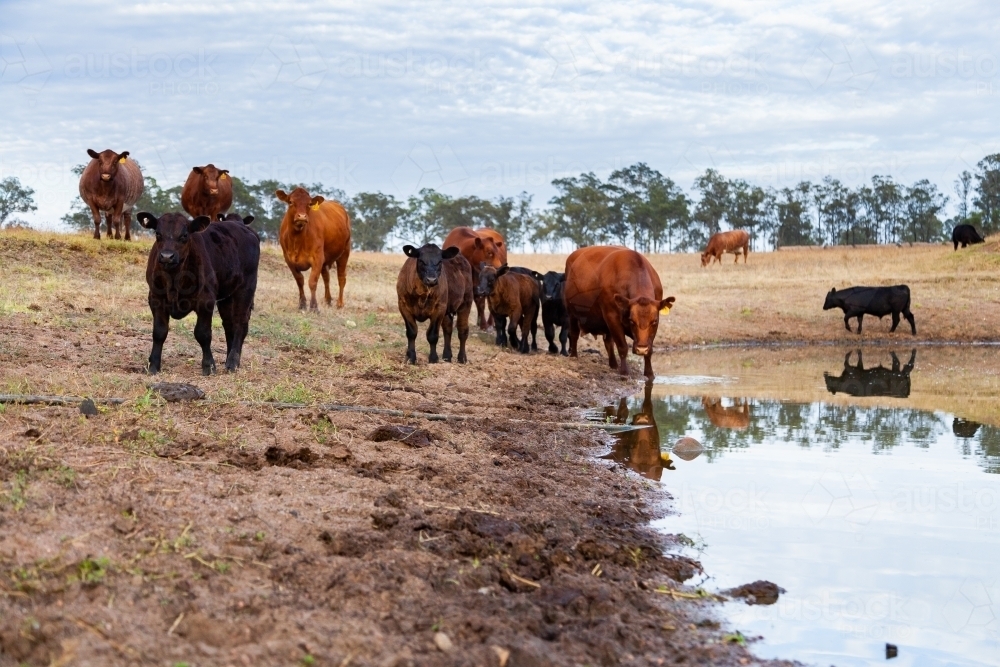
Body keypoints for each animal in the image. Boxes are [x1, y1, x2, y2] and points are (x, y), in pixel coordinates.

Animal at [137, 211, 262, 376]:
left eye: (184, 235)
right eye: (158, 233)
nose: (166, 256)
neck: (174, 278)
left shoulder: (206, 301)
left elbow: (203, 334)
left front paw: (209, 366)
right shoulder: (155, 299)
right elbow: (159, 332)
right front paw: (153, 366)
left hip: (246, 287)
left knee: (240, 323)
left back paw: (233, 362)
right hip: (227, 296)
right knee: (229, 324)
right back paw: (229, 359)